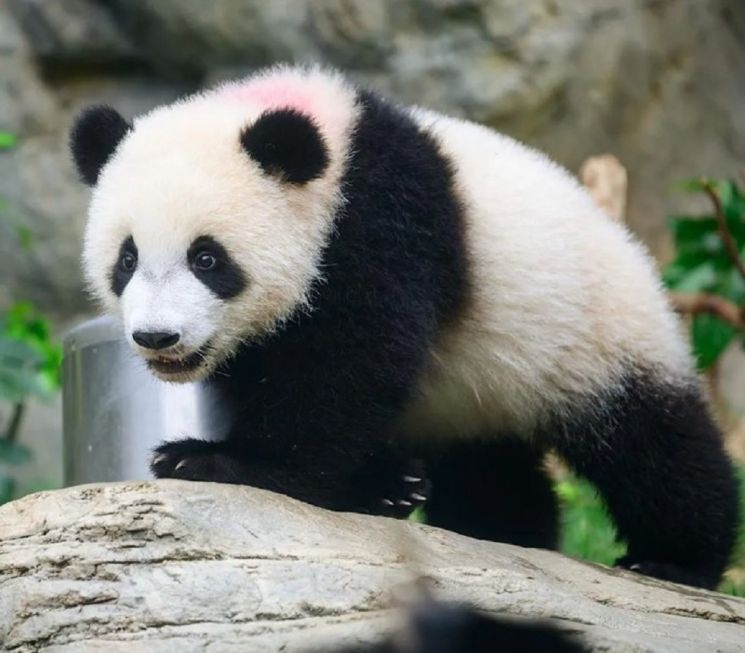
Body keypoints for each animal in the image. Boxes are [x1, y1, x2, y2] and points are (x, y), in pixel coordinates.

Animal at [70, 64, 739, 590]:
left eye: (207, 259)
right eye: (126, 259)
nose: (158, 338)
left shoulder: (383, 219)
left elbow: (350, 366)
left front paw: (214, 461)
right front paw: (377, 485)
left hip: (598, 333)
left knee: (653, 445)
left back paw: (676, 561)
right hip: (478, 395)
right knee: (490, 468)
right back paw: (493, 524)